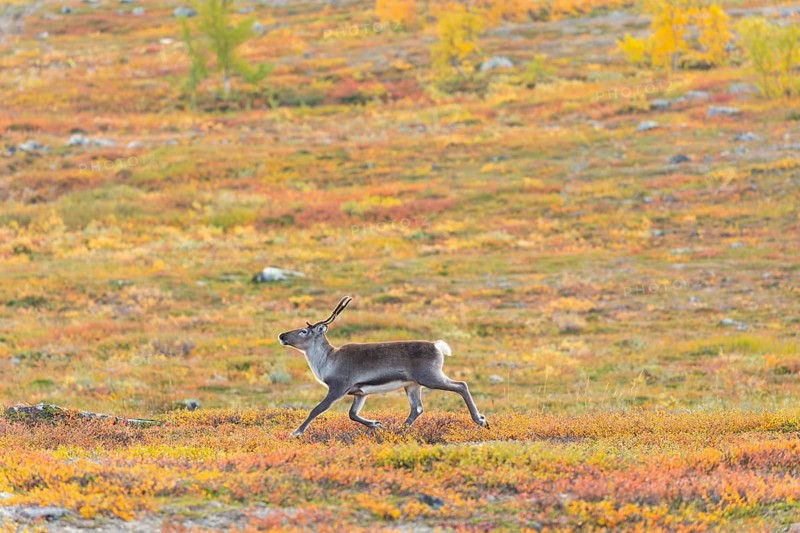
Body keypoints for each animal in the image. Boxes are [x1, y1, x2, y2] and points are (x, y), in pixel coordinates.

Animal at [278, 296, 488, 437]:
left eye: (304, 331)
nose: (281, 335)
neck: (327, 360)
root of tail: (437, 346)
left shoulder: (338, 387)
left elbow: (316, 409)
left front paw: (296, 432)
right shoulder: (360, 392)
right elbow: (352, 414)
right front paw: (377, 425)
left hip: (430, 377)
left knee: (461, 385)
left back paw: (480, 420)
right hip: (412, 384)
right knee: (417, 408)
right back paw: (398, 430)